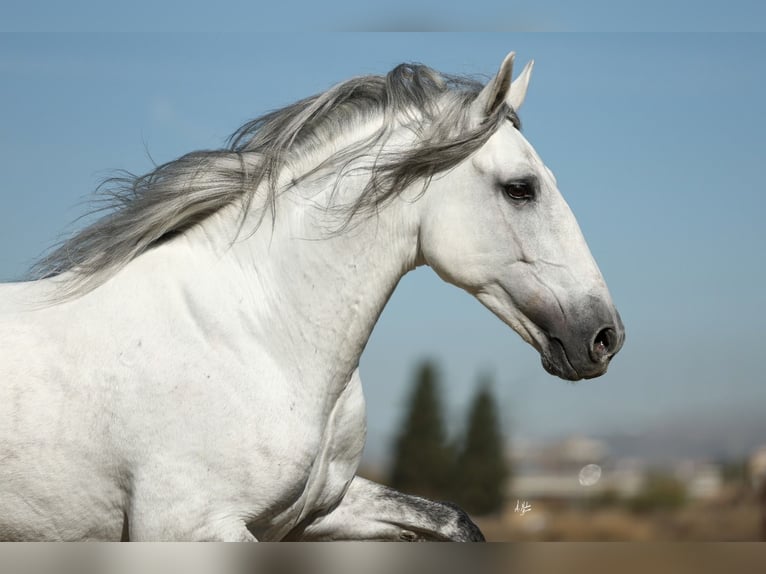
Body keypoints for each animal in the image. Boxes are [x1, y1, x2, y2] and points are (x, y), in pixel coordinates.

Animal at [0, 51, 624, 544]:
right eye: (521, 189)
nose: (605, 336)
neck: (253, 333)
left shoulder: (319, 512)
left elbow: (455, 521)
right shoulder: (190, 527)